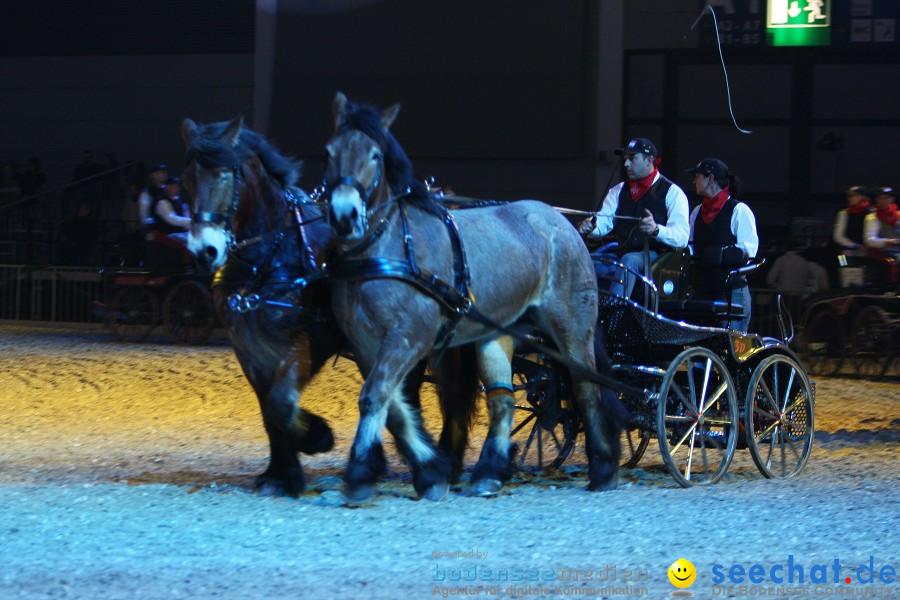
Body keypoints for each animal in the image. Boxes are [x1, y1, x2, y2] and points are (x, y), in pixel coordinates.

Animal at [180, 113, 482, 496]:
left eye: (224, 175)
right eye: (187, 178)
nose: (203, 251)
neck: (271, 254)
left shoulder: (312, 339)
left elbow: (281, 401)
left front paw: (315, 437)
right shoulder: (247, 346)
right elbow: (268, 407)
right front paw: (280, 471)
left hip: (442, 343)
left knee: (451, 395)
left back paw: (446, 461)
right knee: (403, 391)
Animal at [326, 90, 624, 502]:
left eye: (375, 155)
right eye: (329, 151)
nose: (344, 215)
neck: (388, 252)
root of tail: (560, 222)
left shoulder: (409, 337)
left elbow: (376, 397)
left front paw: (360, 474)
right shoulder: (366, 346)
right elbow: (393, 407)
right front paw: (430, 472)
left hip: (571, 329)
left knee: (586, 388)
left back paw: (604, 469)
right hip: (496, 334)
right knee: (502, 400)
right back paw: (489, 471)